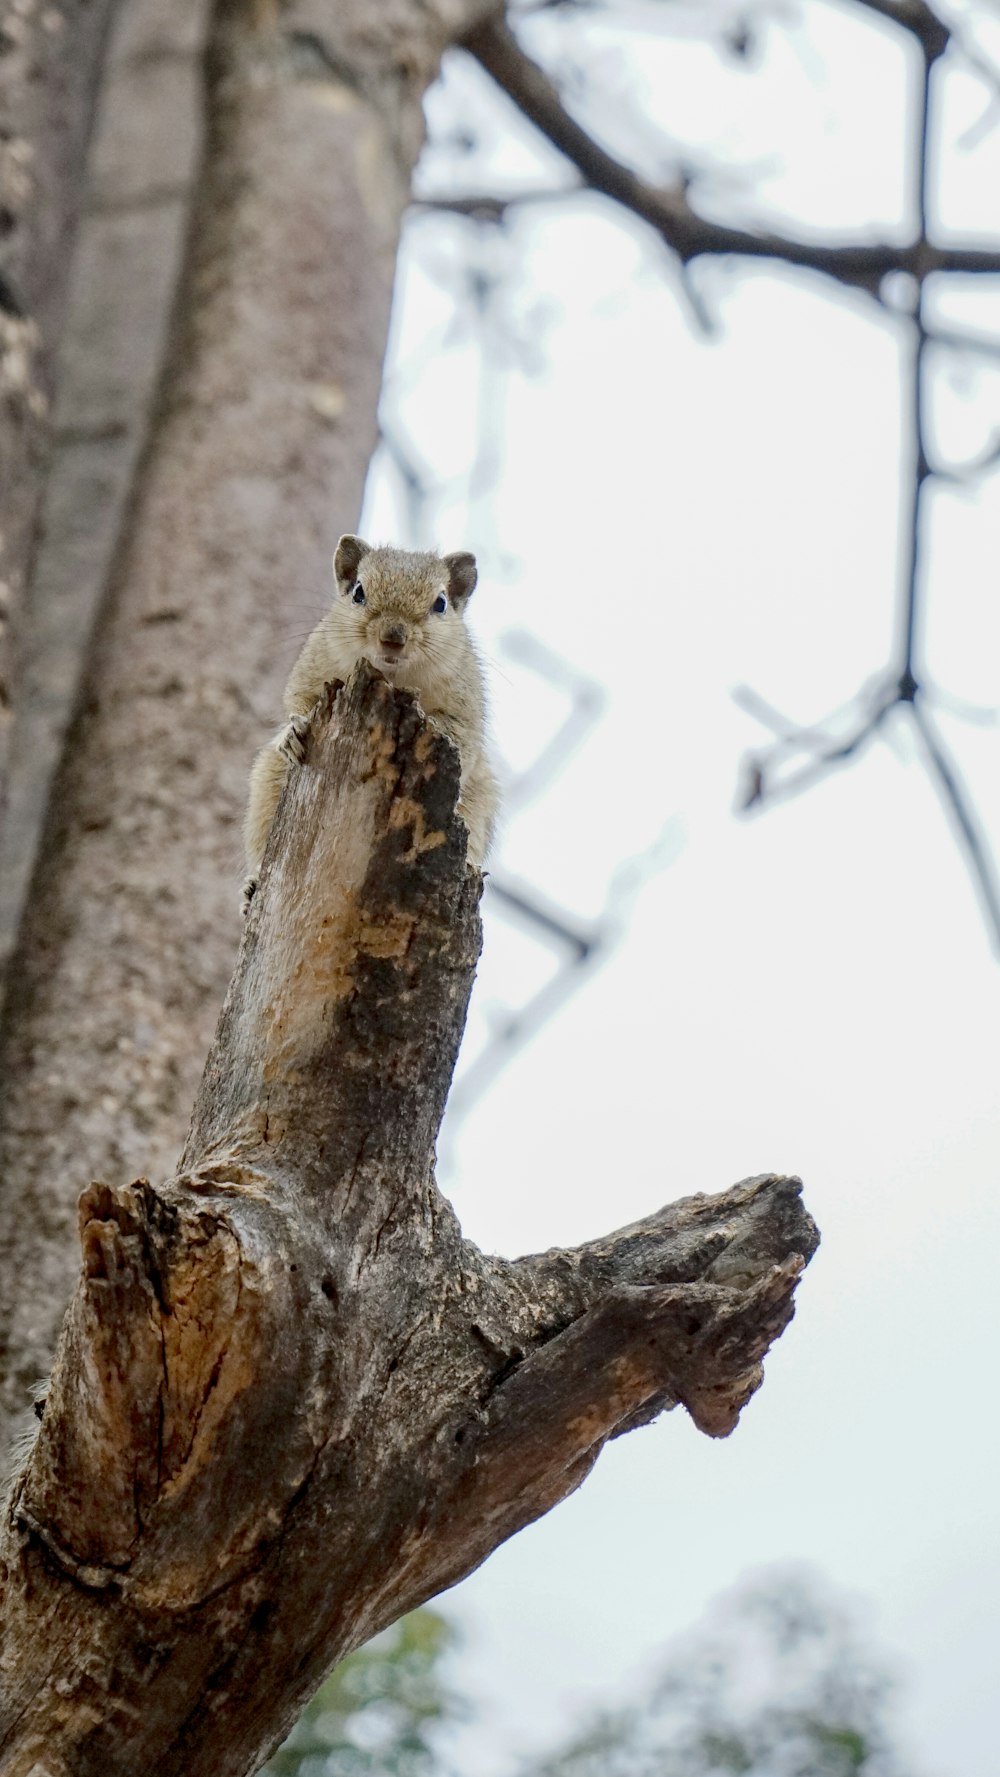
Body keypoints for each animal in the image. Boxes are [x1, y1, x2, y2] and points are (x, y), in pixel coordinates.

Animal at [239, 533, 497, 902]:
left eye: (441, 604)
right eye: (358, 592)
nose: (393, 637)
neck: (392, 677)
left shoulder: (465, 705)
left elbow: (463, 741)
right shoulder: (314, 666)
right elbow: (298, 700)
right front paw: (292, 734)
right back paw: (251, 886)